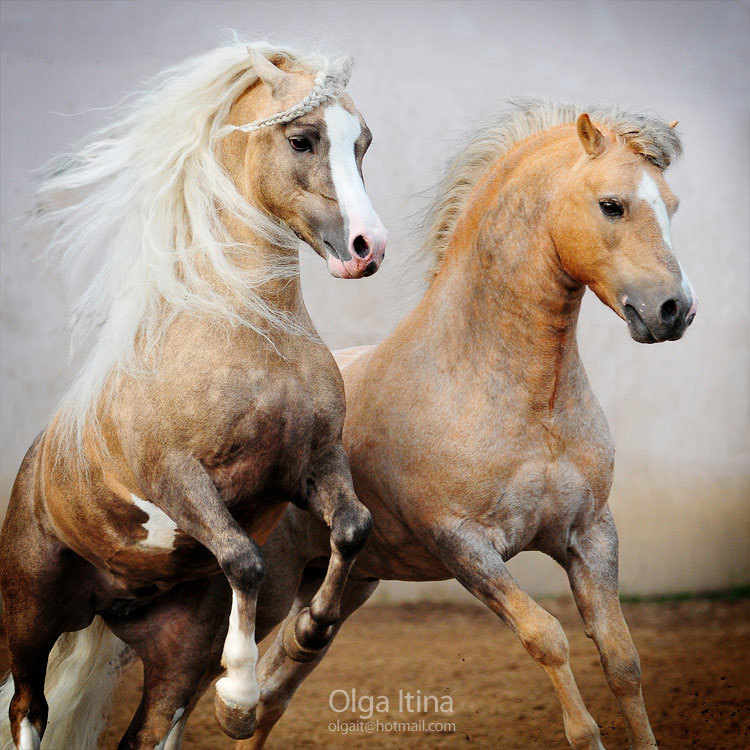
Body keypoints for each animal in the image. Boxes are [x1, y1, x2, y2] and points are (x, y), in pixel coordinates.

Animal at [0, 41, 388, 750]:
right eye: (301, 137)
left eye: (363, 143)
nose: (366, 247)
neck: (250, 336)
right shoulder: (177, 479)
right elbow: (243, 559)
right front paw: (238, 697)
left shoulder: (315, 463)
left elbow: (352, 527)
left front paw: (310, 631)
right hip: (30, 611)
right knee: (28, 708)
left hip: (172, 649)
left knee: (142, 733)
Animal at [216, 103, 692, 748]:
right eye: (612, 204)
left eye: (671, 204)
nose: (675, 310)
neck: (519, 399)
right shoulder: (462, 544)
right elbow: (546, 636)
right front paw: (584, 733)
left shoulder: (591, 535)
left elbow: (622, 658)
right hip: (270, 587)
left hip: (345, 583)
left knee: (277, 686)